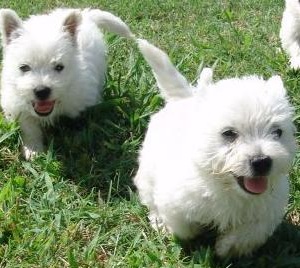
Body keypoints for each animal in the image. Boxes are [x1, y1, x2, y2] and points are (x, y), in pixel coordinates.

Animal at [0, 8, 132, 159]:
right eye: (24, 67)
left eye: (59, 67)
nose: (41, 91)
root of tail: (85, 15)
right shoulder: (17, 106)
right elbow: (29, 127)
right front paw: (33, 149)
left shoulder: (82, 101)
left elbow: (81, 122)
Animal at [135, 38, 296, 258]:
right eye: (229, 133)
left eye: (278, 132)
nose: (262, 162)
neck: (227, 189)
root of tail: (186, 99)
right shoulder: (174, 201)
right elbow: (184, 228)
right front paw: (195, 232)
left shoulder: (267, 212)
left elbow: (250, 233)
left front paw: (224, 248)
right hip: (147, 170)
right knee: (149, 196)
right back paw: (158, 221)